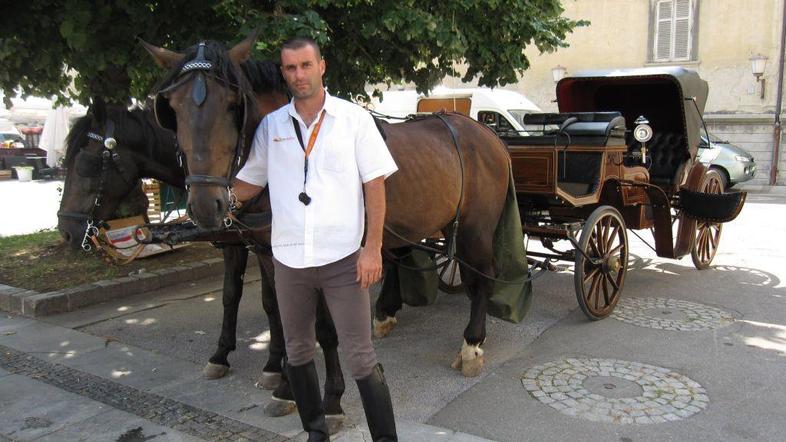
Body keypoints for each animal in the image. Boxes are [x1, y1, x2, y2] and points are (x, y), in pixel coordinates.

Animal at [144, 34, 512, 376]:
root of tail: (487, 133)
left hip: (475, 227)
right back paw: (387, 313)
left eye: (233, 104)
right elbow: (270, 303)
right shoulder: (264, 249)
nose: (206, 205)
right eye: (171, 109)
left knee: (484, 273)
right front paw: (273, 366)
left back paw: (471, 343)